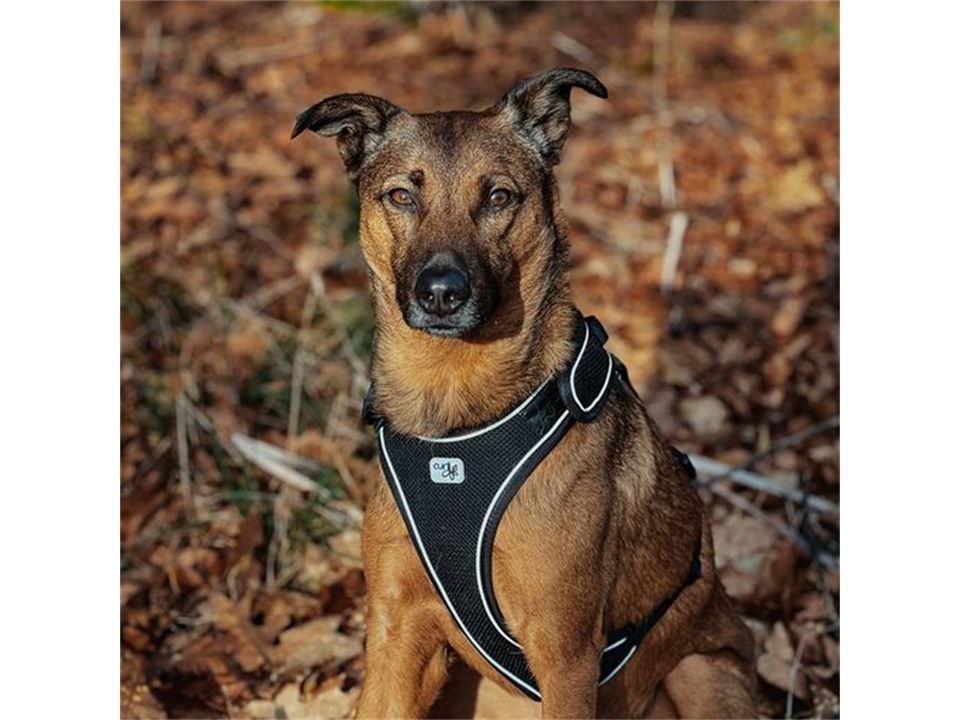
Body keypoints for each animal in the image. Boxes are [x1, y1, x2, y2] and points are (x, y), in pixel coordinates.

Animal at [292, 69, 756, 720]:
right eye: (402, 197)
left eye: (498, 198)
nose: (442, 293)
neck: (453, 421)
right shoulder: (394, 632)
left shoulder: (565, 652)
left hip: (701, 671)